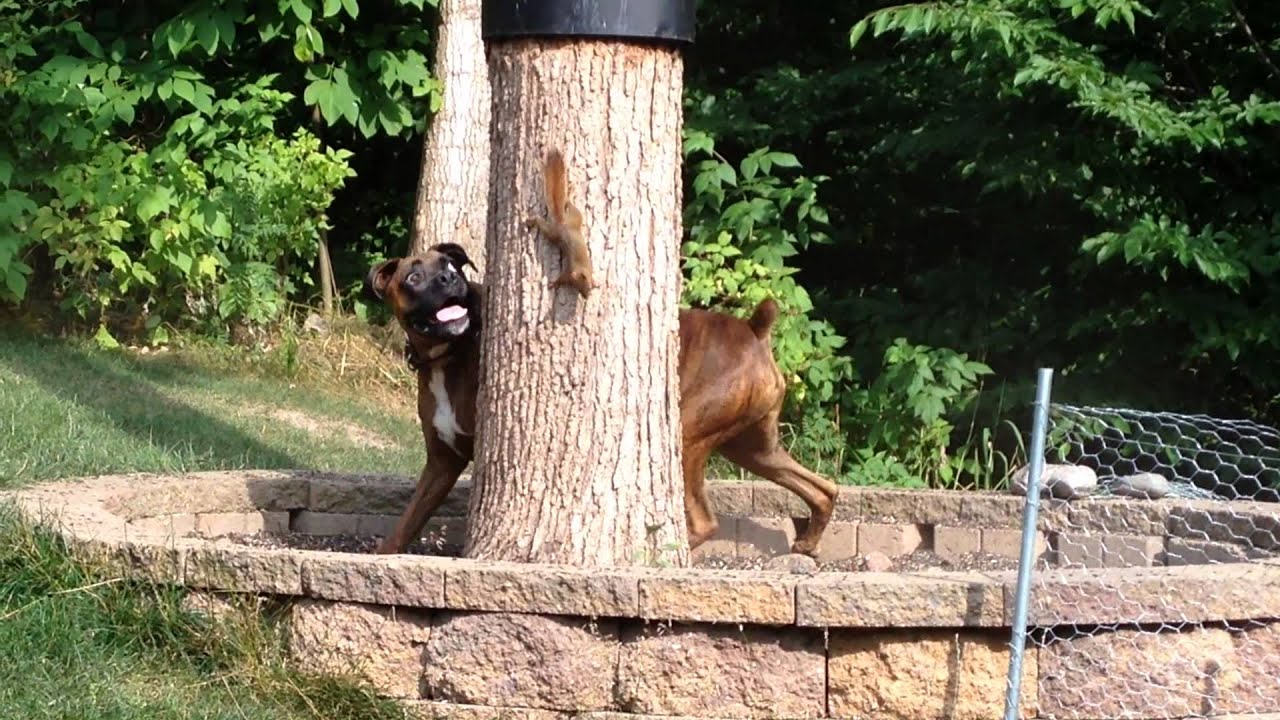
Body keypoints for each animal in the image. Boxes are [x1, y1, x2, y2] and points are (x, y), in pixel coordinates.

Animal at [525, 148, 597, 298]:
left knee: (568, 204)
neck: (581, 269)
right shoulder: (569, 272)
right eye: (581, 288)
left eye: (589, 287)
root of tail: (563, 223)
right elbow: (562, 278)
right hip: (554, 232)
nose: (586, 296)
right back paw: (532, 220)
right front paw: (554, 284)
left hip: (570, 221)